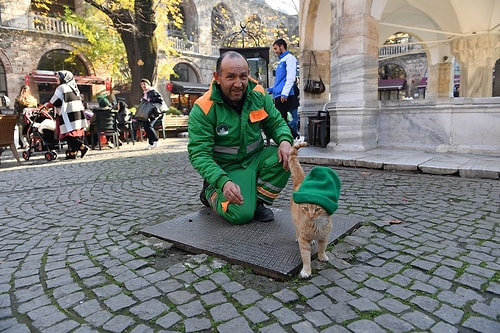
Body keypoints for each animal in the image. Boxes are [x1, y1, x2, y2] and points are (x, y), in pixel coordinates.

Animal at [290, 142, 340, 278]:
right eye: (306, 208)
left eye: (317, 209)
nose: (311, 216)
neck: (316, 225)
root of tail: (301, 182)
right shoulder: (304, 240)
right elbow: (306, 257)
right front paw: (306, 271)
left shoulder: (324, 237)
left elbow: (322, 248)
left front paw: (322, 257)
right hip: (295, 222)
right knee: (296, 230)